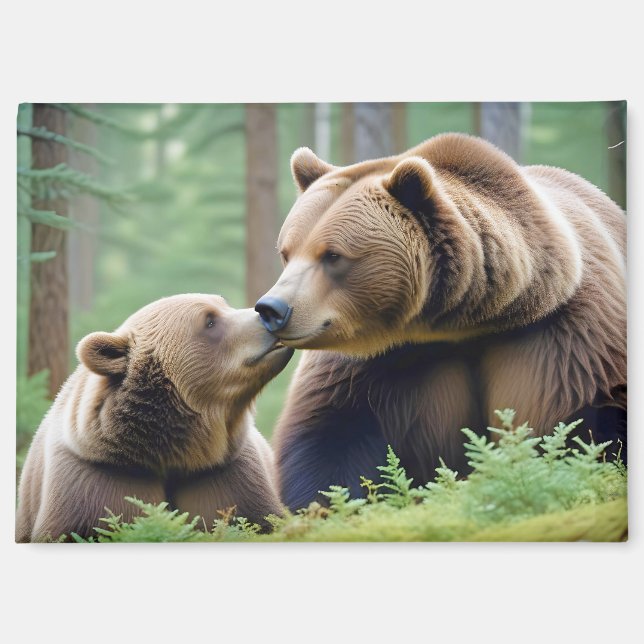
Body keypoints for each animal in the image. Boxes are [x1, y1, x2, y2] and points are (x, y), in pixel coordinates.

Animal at [16, 294, 293, 542]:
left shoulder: (224, 473)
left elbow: (253, 518)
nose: (268, 314)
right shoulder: (98, 478)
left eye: (223, 304)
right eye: (209, 321)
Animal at [254, 132, 627, 511]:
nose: (272, 309)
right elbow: (332, 434)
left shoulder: (561, 336)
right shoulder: (374, 361)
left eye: (332, 255)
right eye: (287, 252)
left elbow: (589, 416)